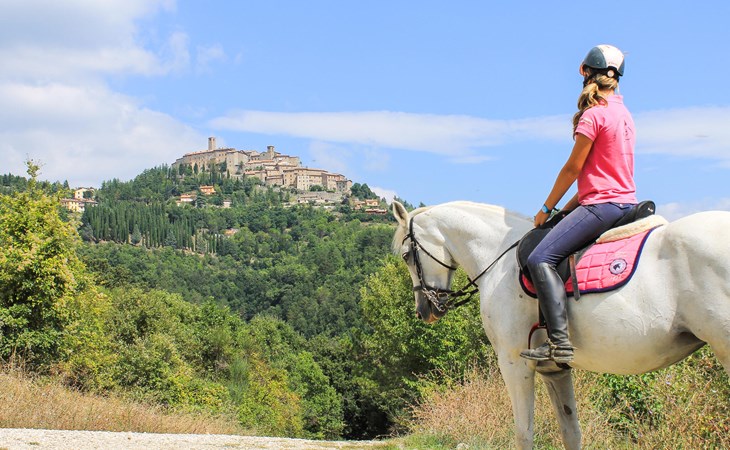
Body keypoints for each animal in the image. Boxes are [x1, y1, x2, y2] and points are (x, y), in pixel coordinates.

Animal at [391, 200, 730, 450]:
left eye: (407, 255)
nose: (424, 310)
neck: (498, 257)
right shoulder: (555, 370)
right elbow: (571, 433)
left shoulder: (514, 363)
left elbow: (524, 434)